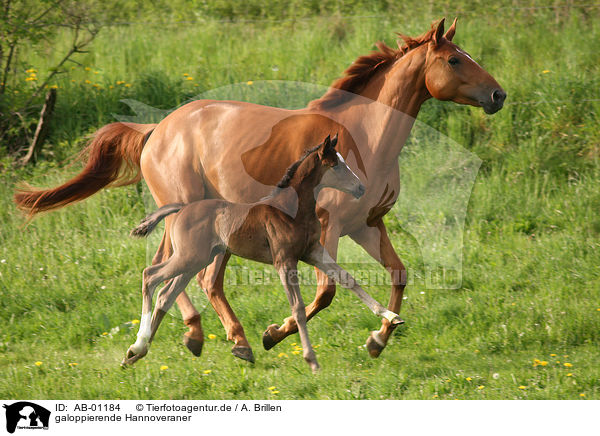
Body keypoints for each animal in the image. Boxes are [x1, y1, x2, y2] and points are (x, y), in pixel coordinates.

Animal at [123, 135, 400, 372]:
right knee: (150, 276)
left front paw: (391, 317)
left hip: (194, 261)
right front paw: (311, 360)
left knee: (165, 295)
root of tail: (181, 208)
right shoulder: (284, 261)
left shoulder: (313, 252)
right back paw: (138, 344)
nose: (361, 188)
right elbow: (298, 307)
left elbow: (348, 279)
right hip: (187, 257)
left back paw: (135, 353)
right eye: (337, 165)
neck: (292, 210)